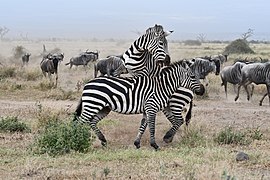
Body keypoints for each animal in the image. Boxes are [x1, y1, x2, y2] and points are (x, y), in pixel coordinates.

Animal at [74, 61, 205, 150]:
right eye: (193, 76)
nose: (202, 90)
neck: (161, 87)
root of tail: (87, 84)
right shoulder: (151, 108)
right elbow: (152, 127)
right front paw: (155, 145)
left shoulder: (147, 109)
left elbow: (143, 126)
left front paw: (137, 143)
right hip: (93, 104)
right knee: (81, 121)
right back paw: (77, 140)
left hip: (104, 107)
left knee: (92, 121)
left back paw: (103, 140)